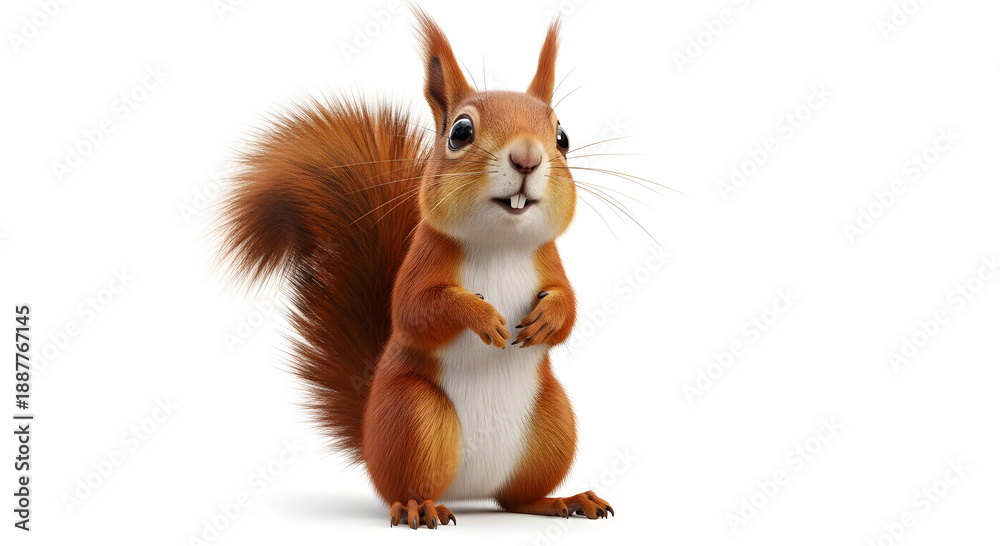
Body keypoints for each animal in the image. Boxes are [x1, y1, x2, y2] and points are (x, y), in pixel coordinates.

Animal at [216, 9, 613, 529]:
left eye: (563, 137)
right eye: (460, 132)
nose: (528, 157)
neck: (500, 242)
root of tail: (469, 494)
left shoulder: (549, 259)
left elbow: (570, 310)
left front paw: (549, 317)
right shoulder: (424, 257)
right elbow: (415, 311)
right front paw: (481, 316)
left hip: (554, 422)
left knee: (517, 498)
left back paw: (564, 500)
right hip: (414, 416)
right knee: (409, 486)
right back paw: (418, 506)